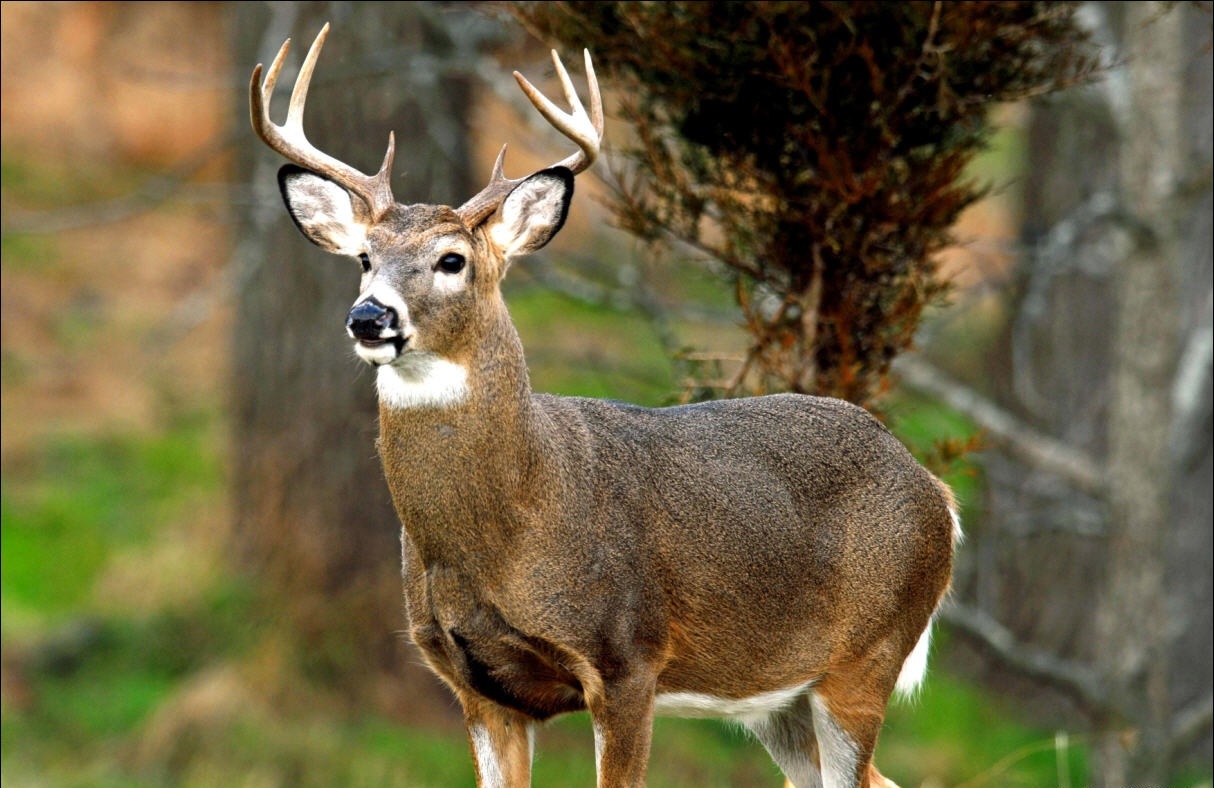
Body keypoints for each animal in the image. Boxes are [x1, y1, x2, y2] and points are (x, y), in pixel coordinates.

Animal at [250, 23, 959, 788]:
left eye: (451, 260)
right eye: (363, 258)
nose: (369, 317)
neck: (510, 523)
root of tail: (937, 491)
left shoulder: (627, 658)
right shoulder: (475, 684)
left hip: (866, 654)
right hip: (779, 696)